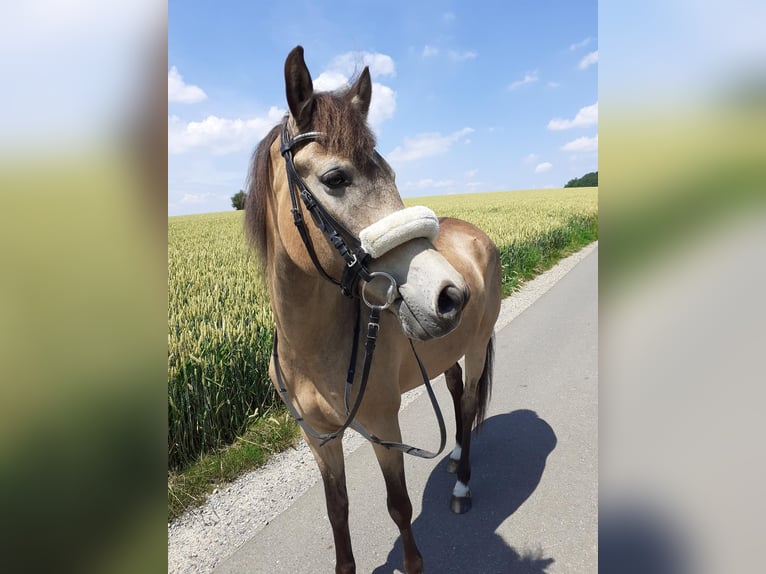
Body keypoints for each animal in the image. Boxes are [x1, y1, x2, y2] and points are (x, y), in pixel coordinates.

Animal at [246, 46, 504, 574]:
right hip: (445, 354)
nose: (449, 295)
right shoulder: (321, 440)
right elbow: (337, 510)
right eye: (335, 178)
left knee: (469, 404)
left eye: (391, 175)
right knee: (456, 398)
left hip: (474, 351)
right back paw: (453, 458)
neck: (313, 349)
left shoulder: (386, 429)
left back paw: (462, 482)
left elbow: (399, 506)